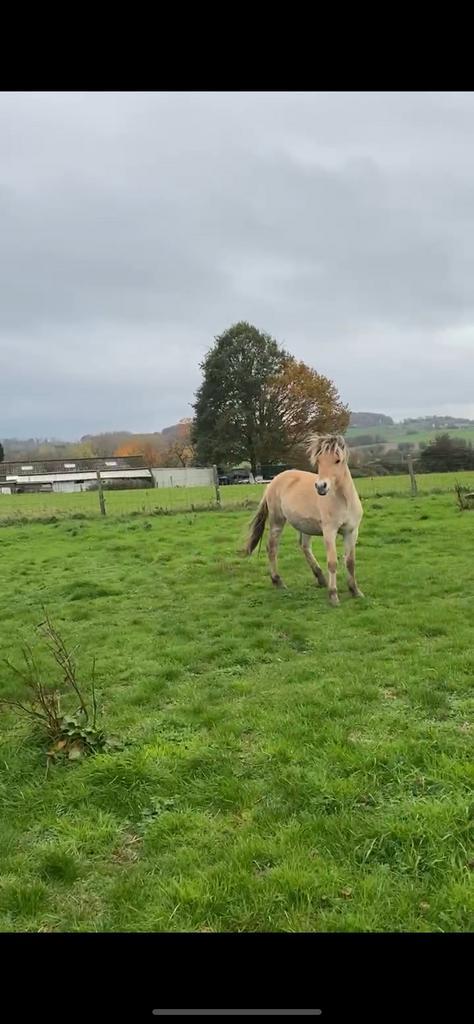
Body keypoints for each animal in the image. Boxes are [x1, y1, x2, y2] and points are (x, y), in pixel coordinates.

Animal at [245, 434, 364, 606]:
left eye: (337, 460)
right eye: (319, 461)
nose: (321, 486)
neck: (343, 500)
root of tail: (273, 481)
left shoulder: (352, 532)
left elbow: (350, 562)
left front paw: (355, 591)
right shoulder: (329, 532)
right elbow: (332, 562)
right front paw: (333, 596)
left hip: (304, 526)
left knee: (304, 546)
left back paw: (320, 578)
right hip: (277, 521)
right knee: (272, 547)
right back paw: (278, 581)